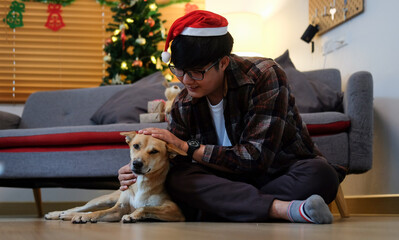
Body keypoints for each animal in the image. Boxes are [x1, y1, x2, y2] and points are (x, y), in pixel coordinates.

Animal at [45, 131, 186, 223]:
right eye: (136, 146)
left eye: (154, 151)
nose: (136, 163)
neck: (141, 183)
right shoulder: (119, 208)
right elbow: (99, 212)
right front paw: (83, 217)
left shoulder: (174, 210)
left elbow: (144, 207)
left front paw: (133, 215)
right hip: (104, 199)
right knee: (81, 208)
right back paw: (58, 214)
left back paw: (67, 215)